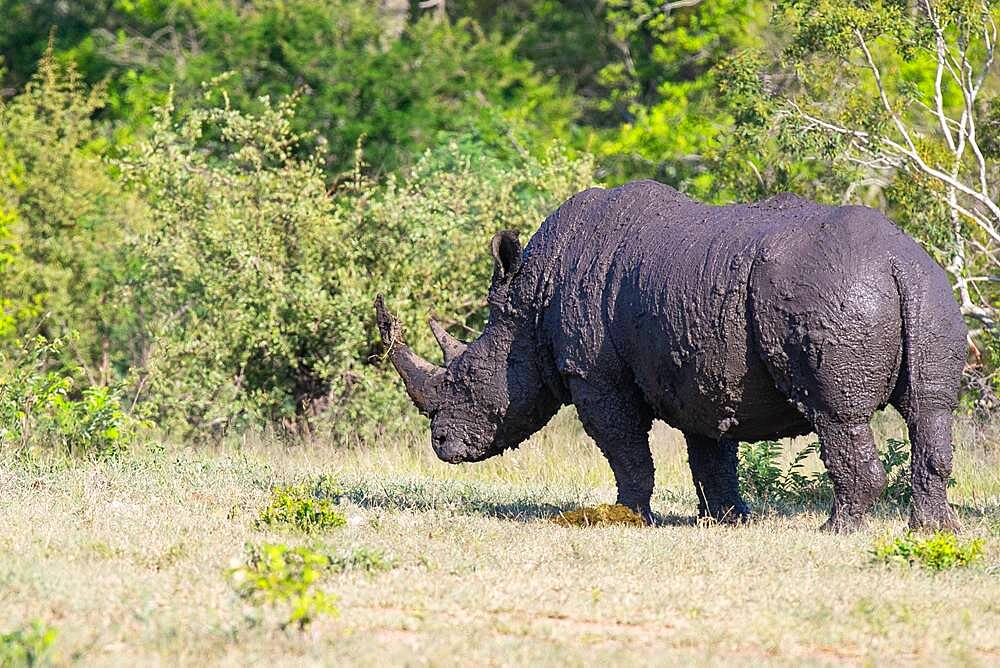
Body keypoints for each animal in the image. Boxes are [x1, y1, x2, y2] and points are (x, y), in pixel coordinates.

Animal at [372, 179, 964, 532]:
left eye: (468, 377)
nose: (441, 445)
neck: (530, 302)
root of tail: (895, 259)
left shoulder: (594, 375)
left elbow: (625, 448)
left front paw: (627, 517)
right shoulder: (704, 370)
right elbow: (710, 454)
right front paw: (728, 521)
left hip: (832, 291)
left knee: (837, 413)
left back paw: (835, 532)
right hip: (929, 289)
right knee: (930, 410)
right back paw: (933, 531)